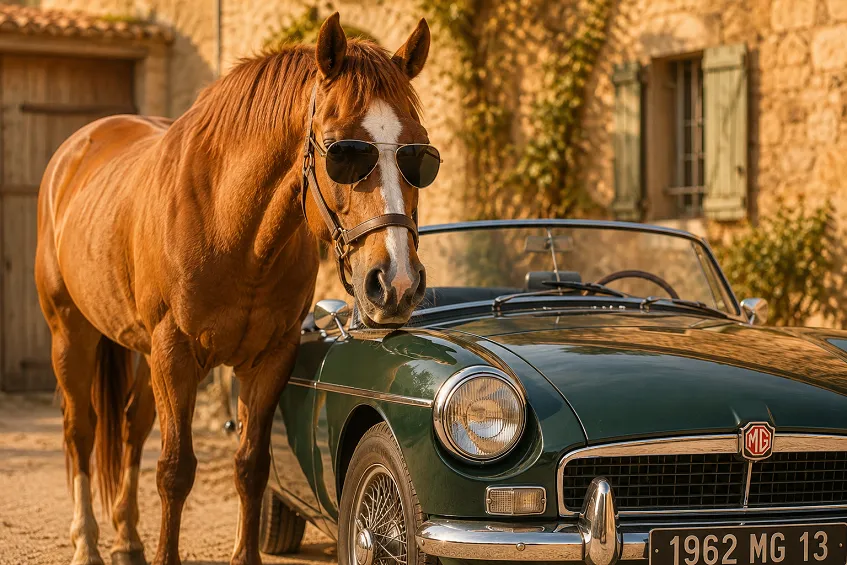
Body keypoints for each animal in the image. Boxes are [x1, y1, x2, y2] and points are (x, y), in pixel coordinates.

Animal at [34, 13, 433, 565]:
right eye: (342, 150)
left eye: (419, 150)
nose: (395, 282)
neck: (233, 231)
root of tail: (79, 147)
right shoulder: (175, 355)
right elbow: (175, 470)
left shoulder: (270, 358)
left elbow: (251, 466)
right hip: (71, 334)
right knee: (80, 432)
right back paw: (86, 542)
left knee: (132, 428)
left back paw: (128, 538)